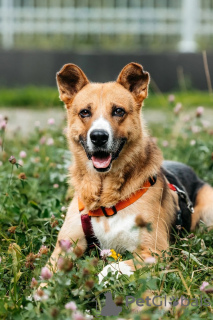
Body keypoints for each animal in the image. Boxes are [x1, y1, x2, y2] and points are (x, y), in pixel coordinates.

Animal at [46, 62, 213, 282]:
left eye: (118, 111)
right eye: (84, 112)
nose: (98, 136)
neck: (105, 199)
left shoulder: (154, 252)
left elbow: (108, 268)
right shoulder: (63, 249)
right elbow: (45, 275)